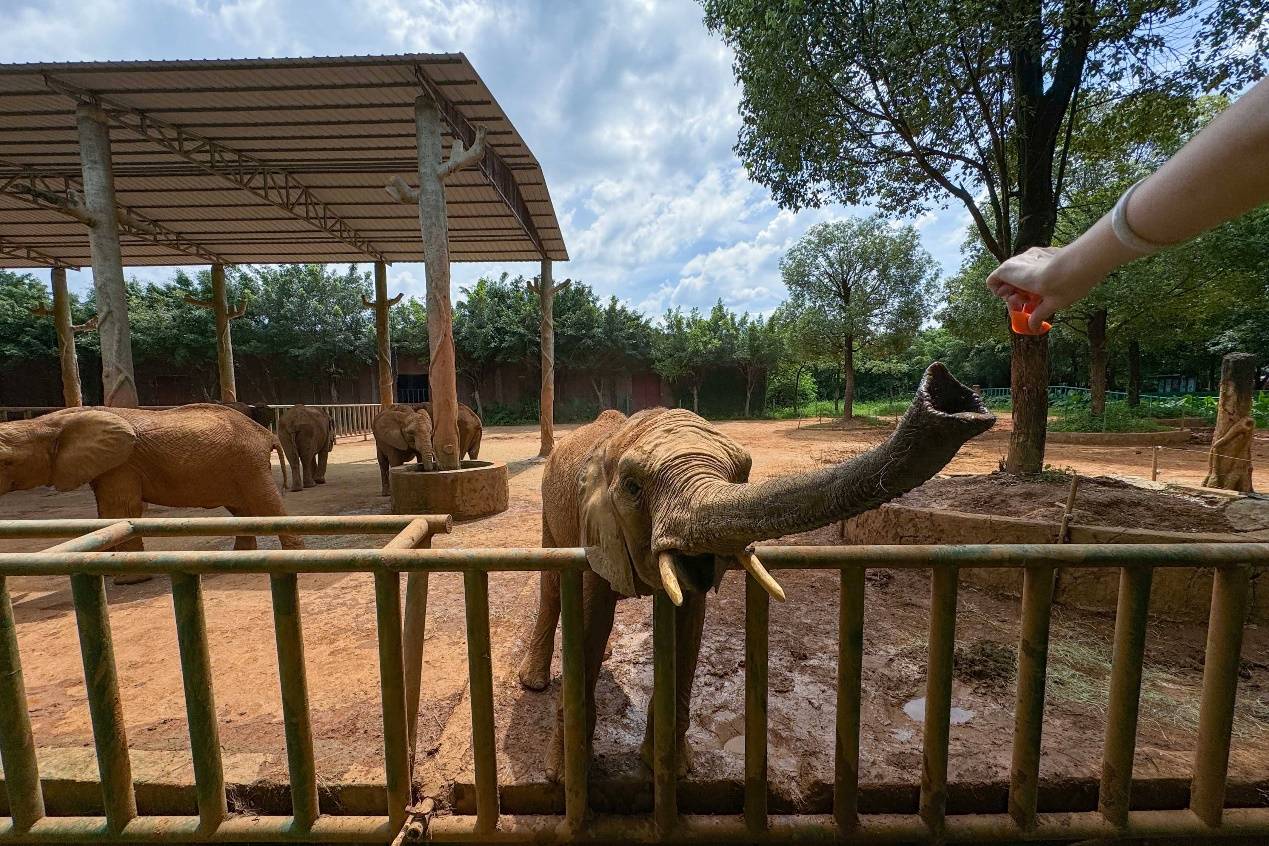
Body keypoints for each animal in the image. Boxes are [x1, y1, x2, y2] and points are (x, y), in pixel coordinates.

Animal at [0, 403, 300, 583]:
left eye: (6, 462)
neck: (48, 422)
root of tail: (265, 434)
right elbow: (107, 514)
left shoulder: (122, 464)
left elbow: (119, 510)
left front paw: (127, 580)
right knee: (241, 509)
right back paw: (238, 558)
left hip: (247, 462)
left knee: (265, 503)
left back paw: (291, 555)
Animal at [515, 365, 989, 781]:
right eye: (632, 488)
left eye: (742, 473)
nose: (952, 396)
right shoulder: (593, 524)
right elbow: (590, 619)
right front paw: (562, 778)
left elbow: (688, 619)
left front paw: (673, 770)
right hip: (549, 509)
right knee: (553, 588)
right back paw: (533, 682)